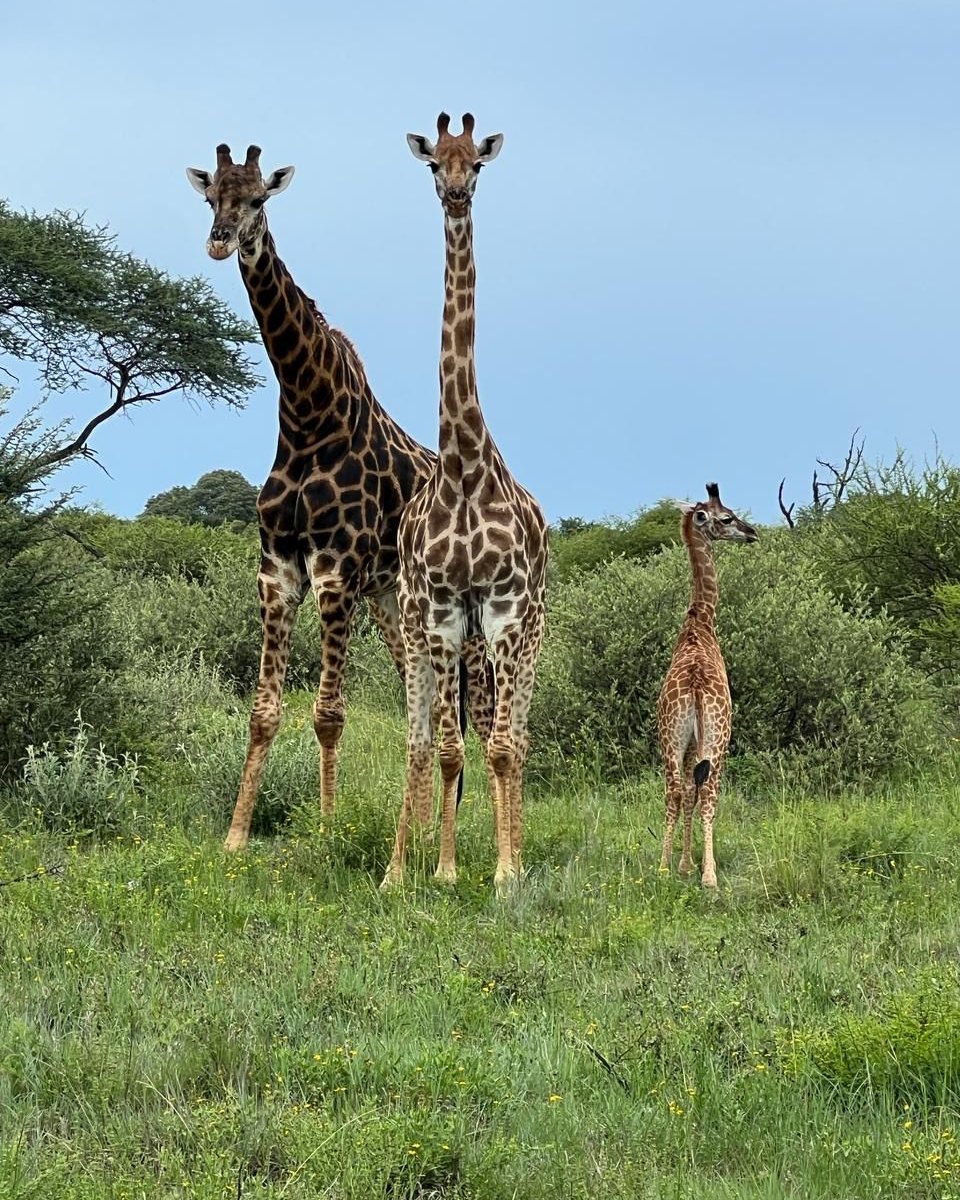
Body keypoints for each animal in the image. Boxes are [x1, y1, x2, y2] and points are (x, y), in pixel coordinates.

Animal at [185, 142, 492, 852]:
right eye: (211, 195)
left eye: (258, 198)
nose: (220, 241)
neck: (306, 416)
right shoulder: (277, 570)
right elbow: (264, 712)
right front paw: (236, 838)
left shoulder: (335, 572)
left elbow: (328, 713)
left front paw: (326, 834)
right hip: (392, 603)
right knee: (419, 699)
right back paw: (430, 831)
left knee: (471, 712)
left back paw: (453, 837)